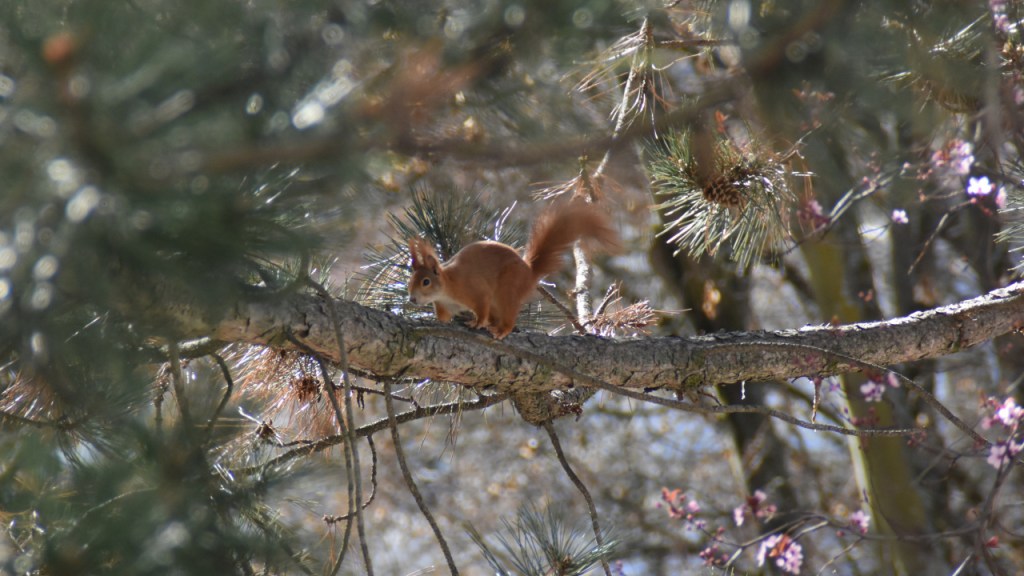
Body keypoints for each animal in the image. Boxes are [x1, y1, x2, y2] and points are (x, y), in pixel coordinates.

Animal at [408, 201, 620, 339]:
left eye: (426, 281)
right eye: (410, 280)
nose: (412, 299)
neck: (448, 286)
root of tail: (528, 273)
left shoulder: (475, 290)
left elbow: (481, 307)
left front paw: (476, 322)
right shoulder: (444, 306)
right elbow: (444, 318)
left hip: (507, 289)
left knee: (508, 317)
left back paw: (501, 330)